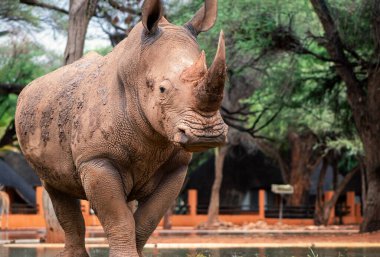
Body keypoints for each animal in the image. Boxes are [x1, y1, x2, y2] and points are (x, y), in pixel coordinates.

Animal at [15, 0, 226, 255]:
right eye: (162, 89)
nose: (207, 134)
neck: (135, 72)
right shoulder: (96, 158)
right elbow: (119, 218)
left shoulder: (176, 167)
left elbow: (146, 219)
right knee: (56, 189)